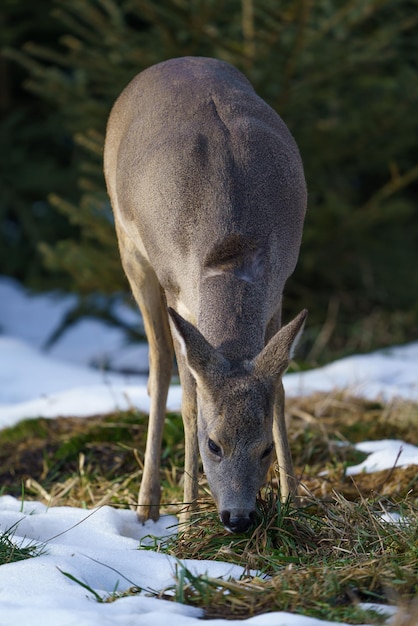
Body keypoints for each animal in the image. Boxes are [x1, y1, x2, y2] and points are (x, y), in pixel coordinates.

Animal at [104, 56, 306, 532]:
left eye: (264, 448)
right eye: (213, 445)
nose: (239, 517)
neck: (231, 250)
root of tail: (175, 60)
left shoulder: (278, 289)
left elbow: (280, 392)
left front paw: (294, 502)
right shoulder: (179, 295)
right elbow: (191, 403)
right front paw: (188, 523)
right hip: (130, 247)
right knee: (158, 365)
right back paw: (147, 505)